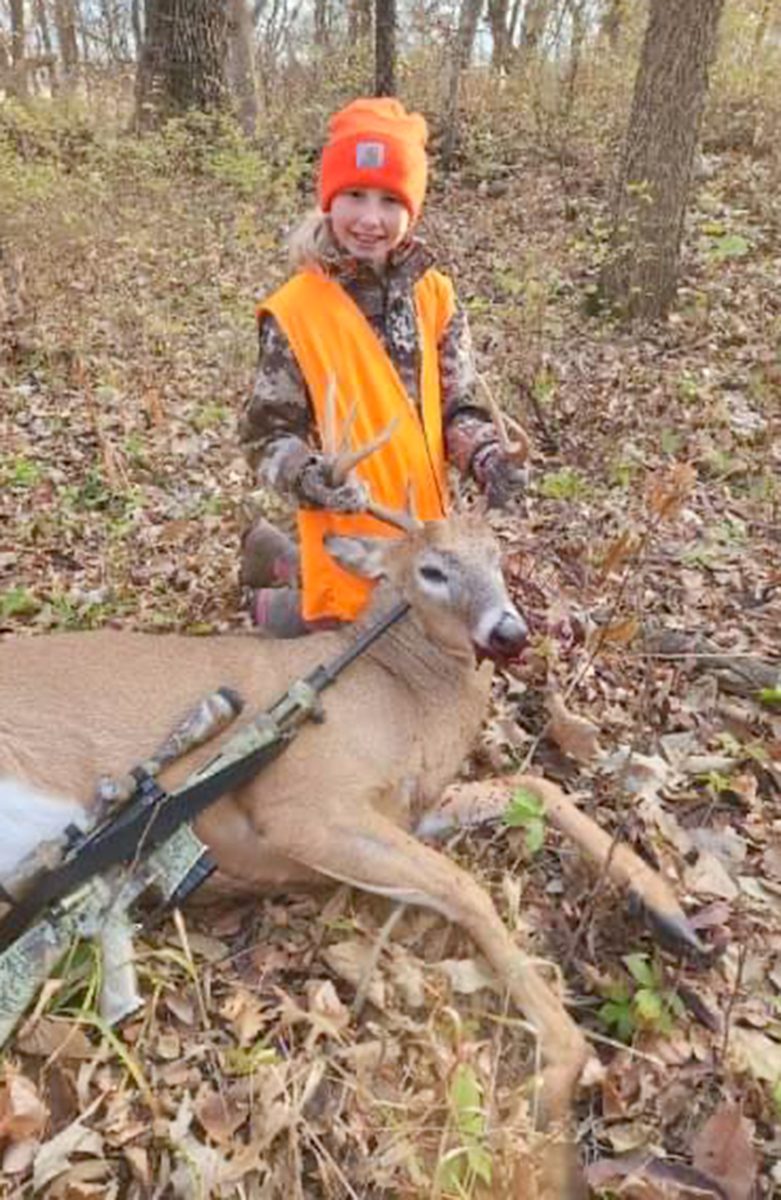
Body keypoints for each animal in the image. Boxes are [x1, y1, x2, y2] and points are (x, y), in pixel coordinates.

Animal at [0, 409, 703, 1197]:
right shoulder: (305, 803)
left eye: (497, 555)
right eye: (431, 570)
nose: (510, 631)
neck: (400, 695)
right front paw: (559, 1068)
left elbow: (537, 787)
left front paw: (670, 913)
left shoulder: (408, 805)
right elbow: (465, 887)